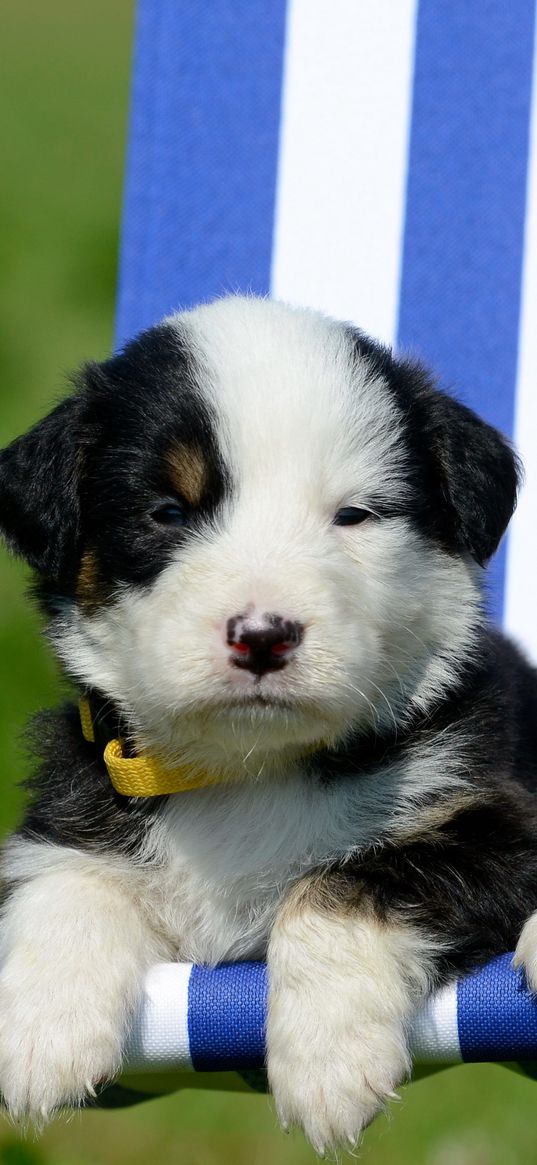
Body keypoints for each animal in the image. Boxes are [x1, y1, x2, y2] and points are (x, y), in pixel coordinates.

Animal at [1, 295, 535, 1151]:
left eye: (353, 515)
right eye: (166, 511)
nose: (262, 634)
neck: (249, 768)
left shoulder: (494, 822)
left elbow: (342, 881)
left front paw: (326, 1062)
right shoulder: (81, 790)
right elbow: (65, 877)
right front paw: (43, 1030)